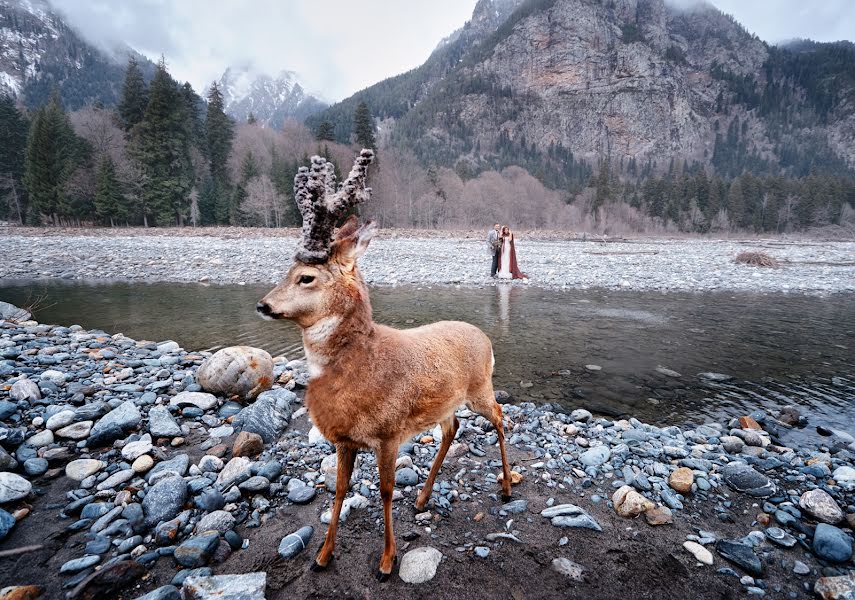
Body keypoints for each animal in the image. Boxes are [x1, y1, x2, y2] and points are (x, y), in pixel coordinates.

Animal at [256, 148, 516, 580]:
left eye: (306, 277)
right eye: (286, 271)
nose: (262, 305)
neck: (357, 369)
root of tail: (485, 338)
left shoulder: (391, 431)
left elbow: (385, 490)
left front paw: (386, 560)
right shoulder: (344, 438)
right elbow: (339, 489)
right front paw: (323, 555)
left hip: (480, 387)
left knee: (499, 416)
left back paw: (508, 487)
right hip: (445, 402)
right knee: (452, 428)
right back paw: (424, 498)